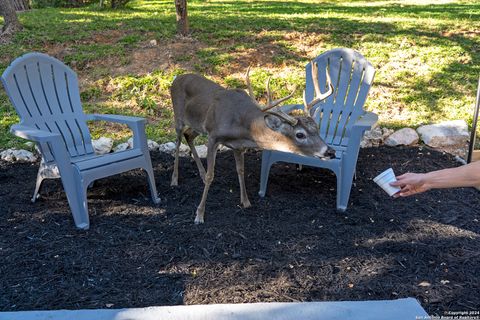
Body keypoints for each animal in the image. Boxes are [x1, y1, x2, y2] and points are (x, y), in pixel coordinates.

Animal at [171, 62, 336, 222]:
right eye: (300, 134)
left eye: (317, 128)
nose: (330, 151)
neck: (243, 128)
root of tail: (176, 78)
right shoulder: (213, 137)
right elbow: (211, 176)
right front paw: (199, 214)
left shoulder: (238, 146)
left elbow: (240, 170)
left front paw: (246, 202)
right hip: (178, 116)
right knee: (178, 140)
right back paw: (174, 179)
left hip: (196, 125)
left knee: (188, 135)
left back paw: (200, 172)